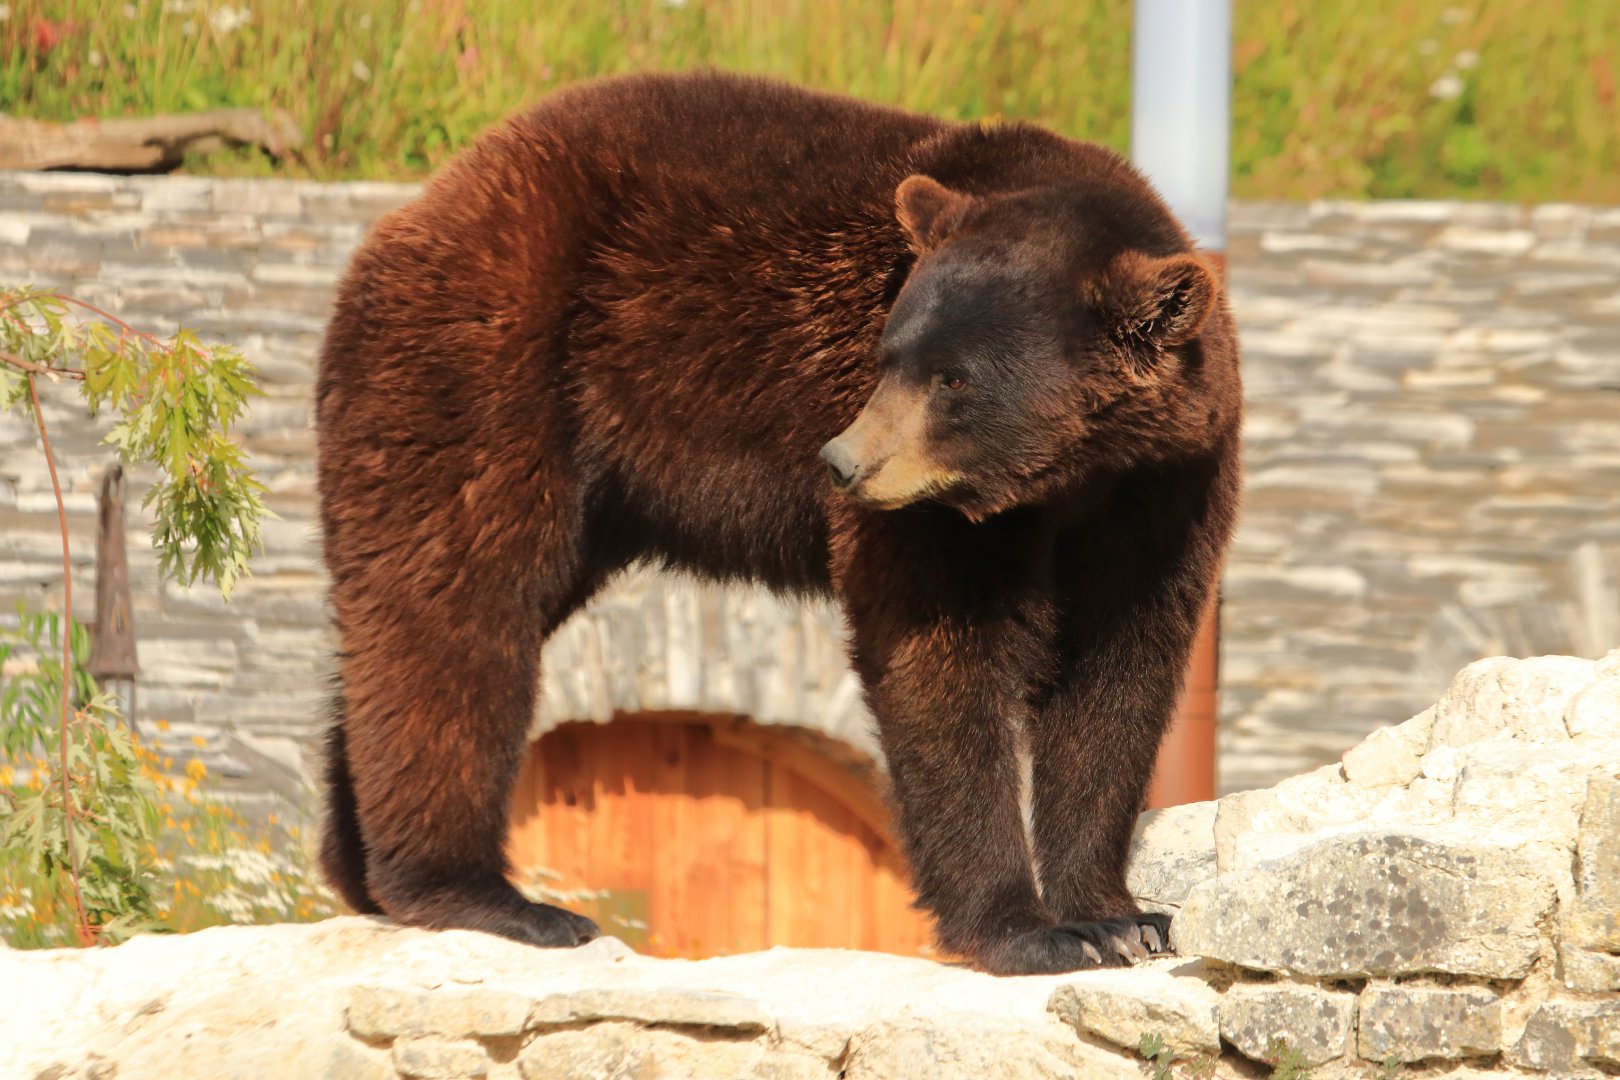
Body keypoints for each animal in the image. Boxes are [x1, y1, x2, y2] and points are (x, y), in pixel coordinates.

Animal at [314, 70, 1242, 976]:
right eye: (888, 358)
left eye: (954, 379)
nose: (842, 462)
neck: (1064, 480)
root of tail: (436, 194)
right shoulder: (942, 519)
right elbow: (943, 654)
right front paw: (1030, 930)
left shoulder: (1165, 489)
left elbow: (1119, 672)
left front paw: (1121, 918)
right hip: (492, 363)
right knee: (461, 596)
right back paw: (487, 896)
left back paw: (363, 872)